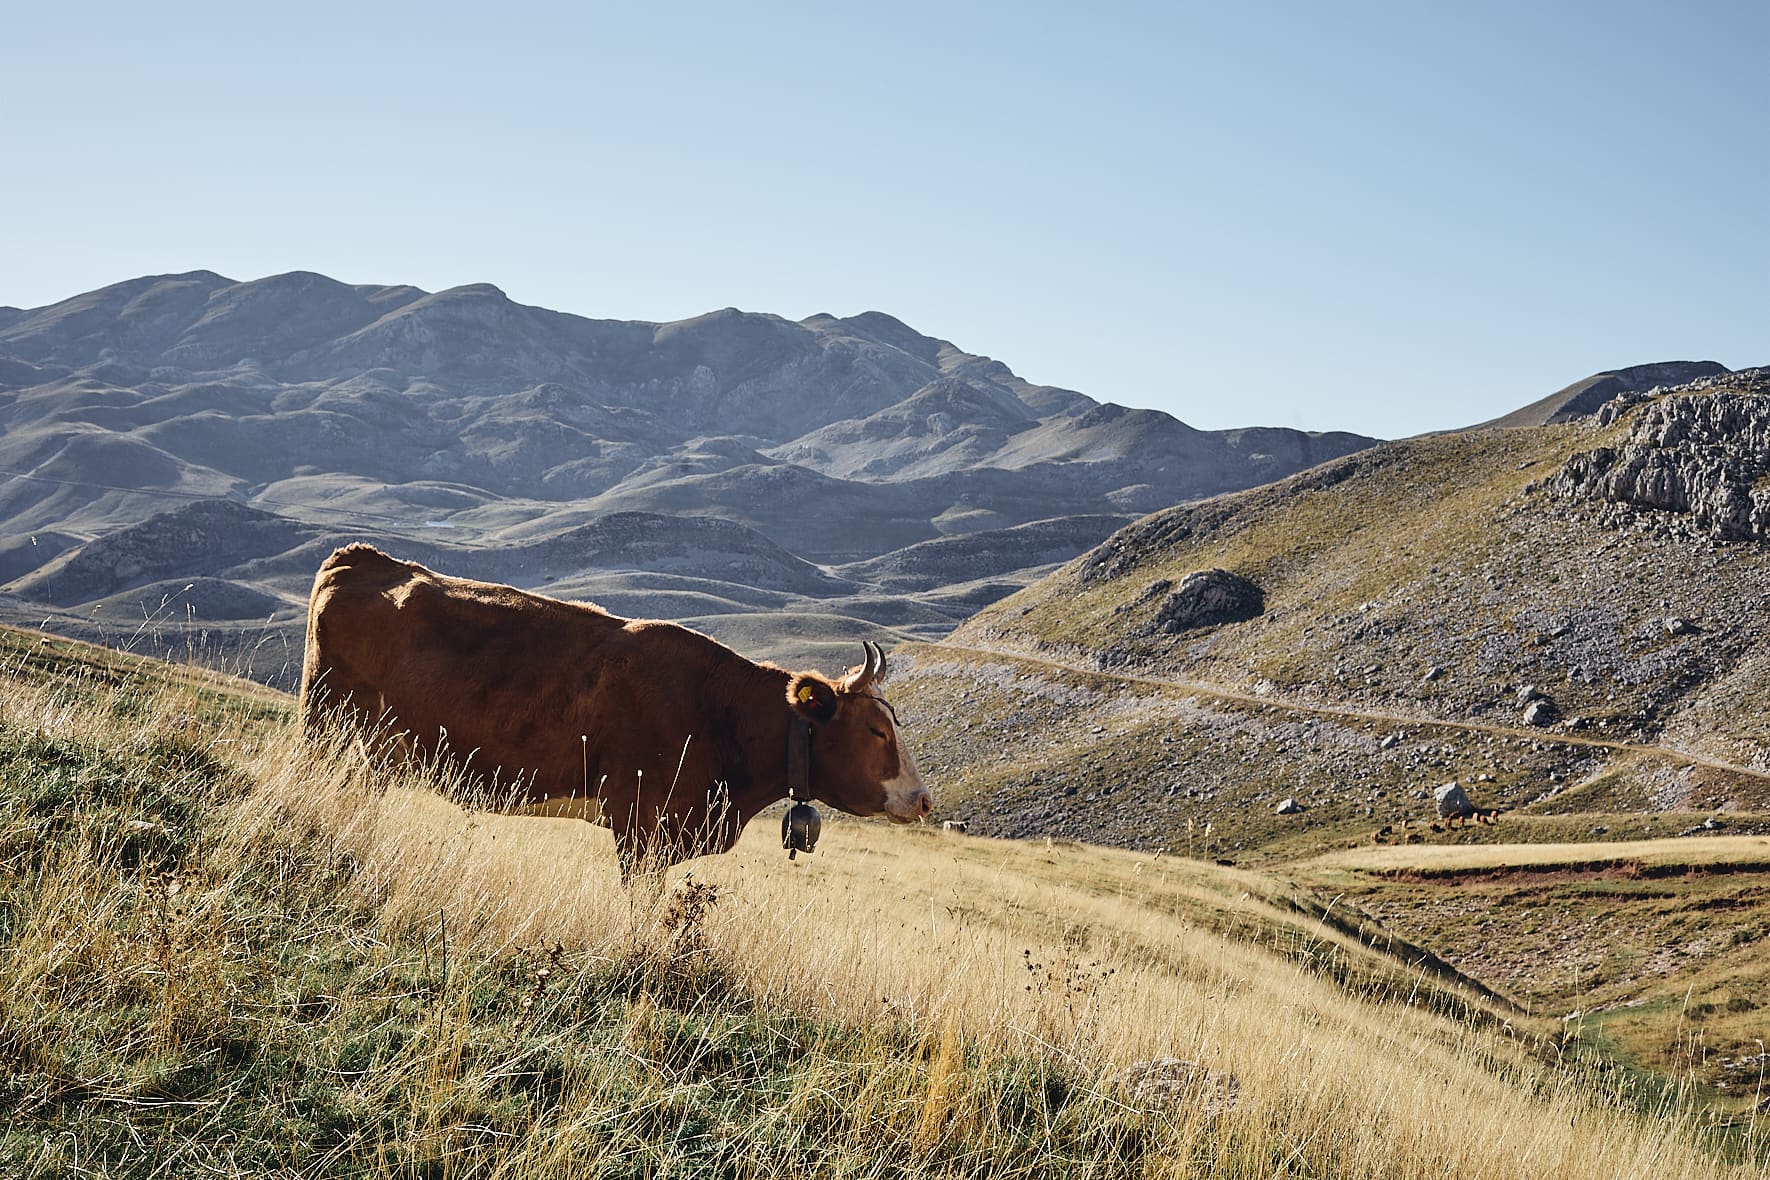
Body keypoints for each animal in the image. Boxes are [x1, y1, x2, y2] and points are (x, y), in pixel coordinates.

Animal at [297, 544, 934, 877]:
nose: (924, 800)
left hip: (372, 748)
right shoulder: (640, 827)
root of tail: (362, 557)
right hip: (327, 723)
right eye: (877, 730)